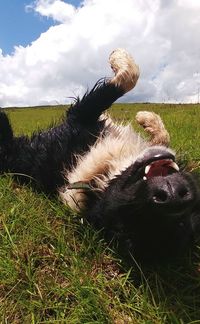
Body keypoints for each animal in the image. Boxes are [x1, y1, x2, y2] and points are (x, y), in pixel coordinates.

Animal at [0, 48, 200, 260]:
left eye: (135, 209)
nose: (173, 194)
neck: (102, 175)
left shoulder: (80, 116)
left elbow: (127, 79)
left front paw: (118, 57)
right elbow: (162, 136)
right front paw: (147, 119)